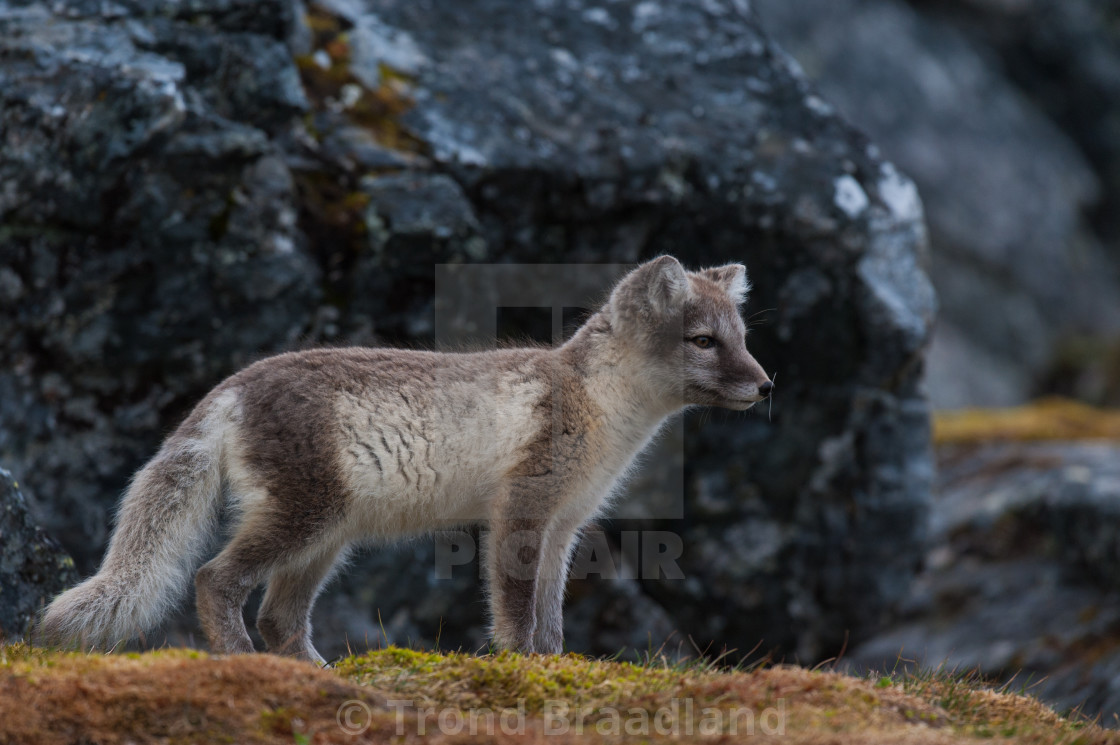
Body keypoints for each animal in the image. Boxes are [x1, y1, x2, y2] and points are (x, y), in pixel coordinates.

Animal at [41, 253, 770, 658]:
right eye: (704, 341)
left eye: (740, 337)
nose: (767, 386)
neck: (597, 402)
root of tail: (231, 385)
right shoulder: (520, 514)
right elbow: (516, 614)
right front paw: (522, 669)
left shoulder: (565, 526)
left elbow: (553, 622)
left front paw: (554, 666)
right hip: (304, 521)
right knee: (214, 580)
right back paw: (243, 662)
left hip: (326, 540)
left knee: (280, 618)